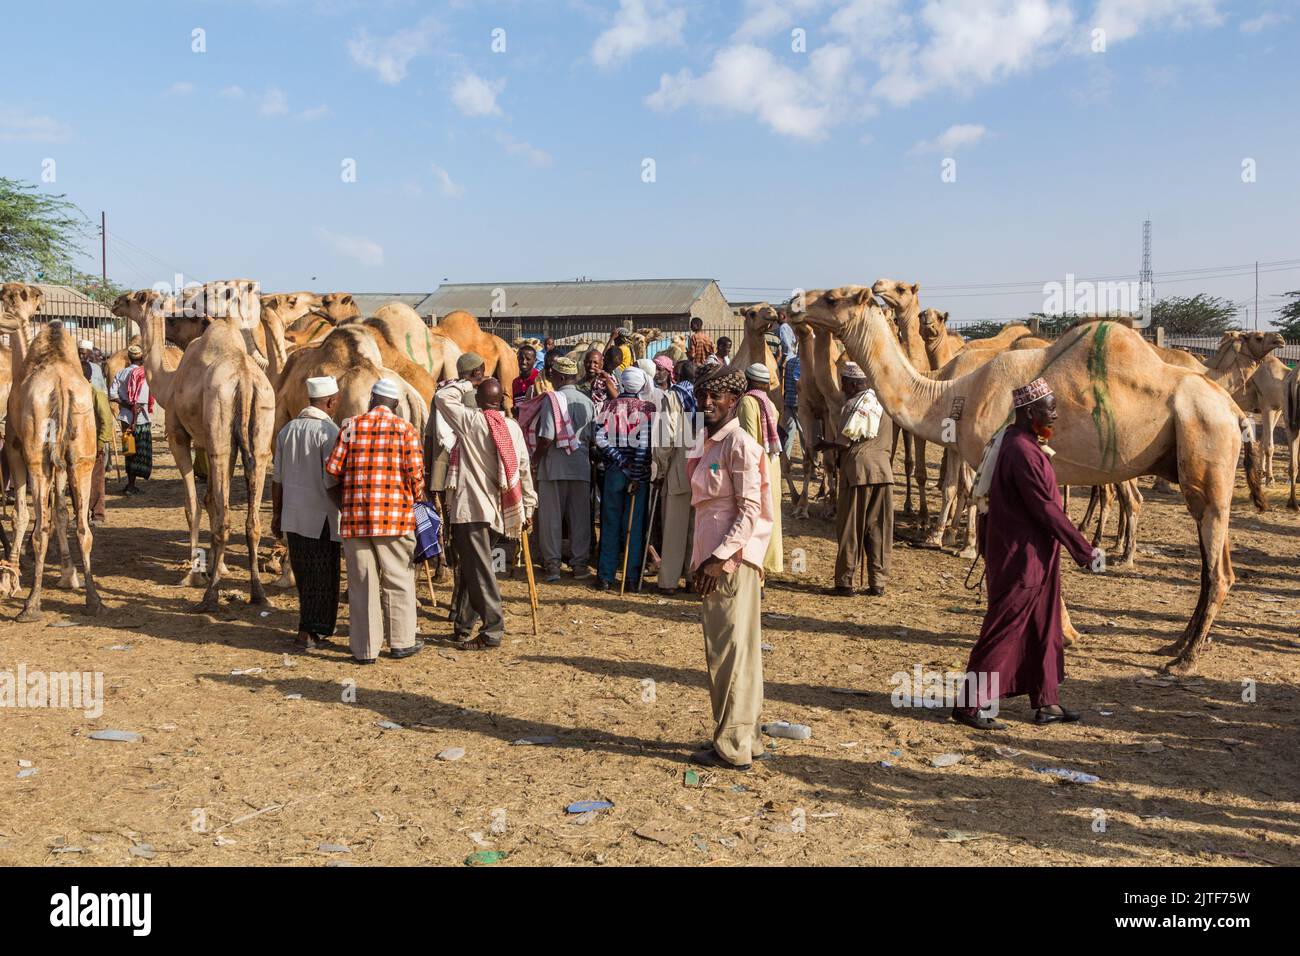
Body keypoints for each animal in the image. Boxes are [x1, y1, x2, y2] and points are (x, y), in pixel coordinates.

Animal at [1, 286, 102, 621]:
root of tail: (60, 385)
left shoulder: (15, 448)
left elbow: (21, 514)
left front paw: (9, 579)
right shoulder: (61, 462)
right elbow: (61, 512)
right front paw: (69, 575)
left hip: (36, 457)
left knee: (40, 529)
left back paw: (31, 605)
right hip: (82, 455)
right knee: (83, 528)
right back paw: (94, 601)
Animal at [111, 287, 274, 608]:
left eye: (134, 298)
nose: (115, 301)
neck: (168, 382)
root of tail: (245, 379)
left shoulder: (179, 436)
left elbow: (193, 505)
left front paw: (194, 573)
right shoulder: (212, 441)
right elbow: (211, 500)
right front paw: (217, 567)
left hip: (219, 432)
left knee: (224, 518)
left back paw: (210, 595)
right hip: (257, 433)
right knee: (252, 520)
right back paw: (258, 593)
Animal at [795, 287, 1263, 671]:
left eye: (833, 298)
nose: (795, 302)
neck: (952, 398)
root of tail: (1236, 412)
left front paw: (1052, 633)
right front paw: (1066, 631)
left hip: (1207, 452)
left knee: (1218, 568)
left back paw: (1184, 659)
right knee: (1214, 564)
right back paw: (1176, 645)